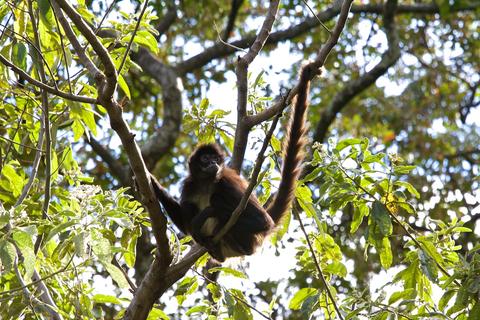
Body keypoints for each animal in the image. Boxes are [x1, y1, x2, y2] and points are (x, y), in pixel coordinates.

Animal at [150, 65, 316, 262]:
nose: (213, 164)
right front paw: (154, 184)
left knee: (219, 202)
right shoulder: (189, 185)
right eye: (205, 159)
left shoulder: (226, 182)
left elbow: (263, 222)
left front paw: (208, 213)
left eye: (216, 159)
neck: (207, 183)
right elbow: (186, 225)